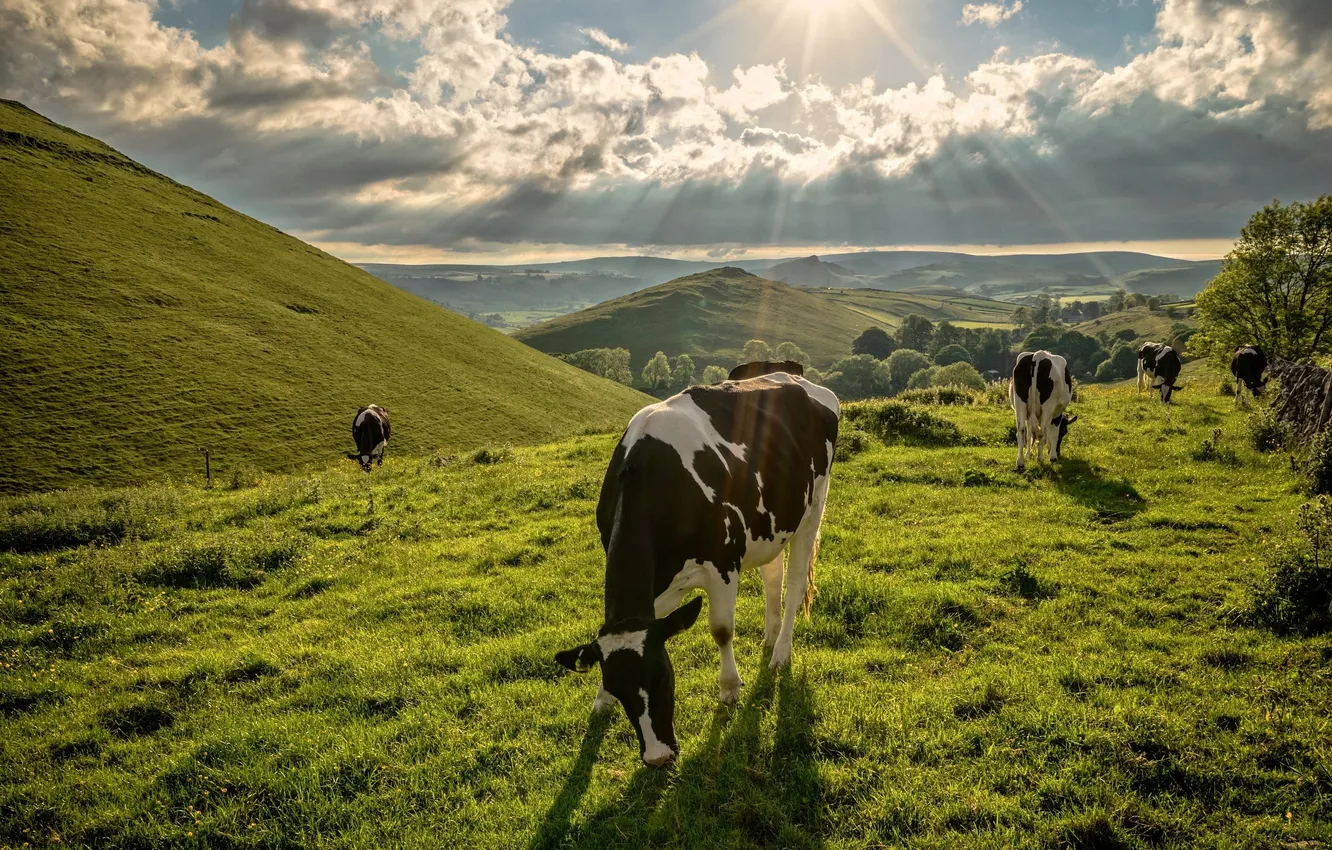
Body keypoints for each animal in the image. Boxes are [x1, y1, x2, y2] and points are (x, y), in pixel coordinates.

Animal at [555, 374, 839, 767]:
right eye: (618, 688)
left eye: (663, 677)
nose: (658, 757)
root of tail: (796, 378)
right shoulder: (658, 587)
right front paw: (601, 699)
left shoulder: (723, 563)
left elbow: (721, 630)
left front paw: (730, 688)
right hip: (771, 524)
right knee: (773, 578)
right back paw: (770, 636)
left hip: (813, 507)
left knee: (795, 584)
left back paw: (780, 654)